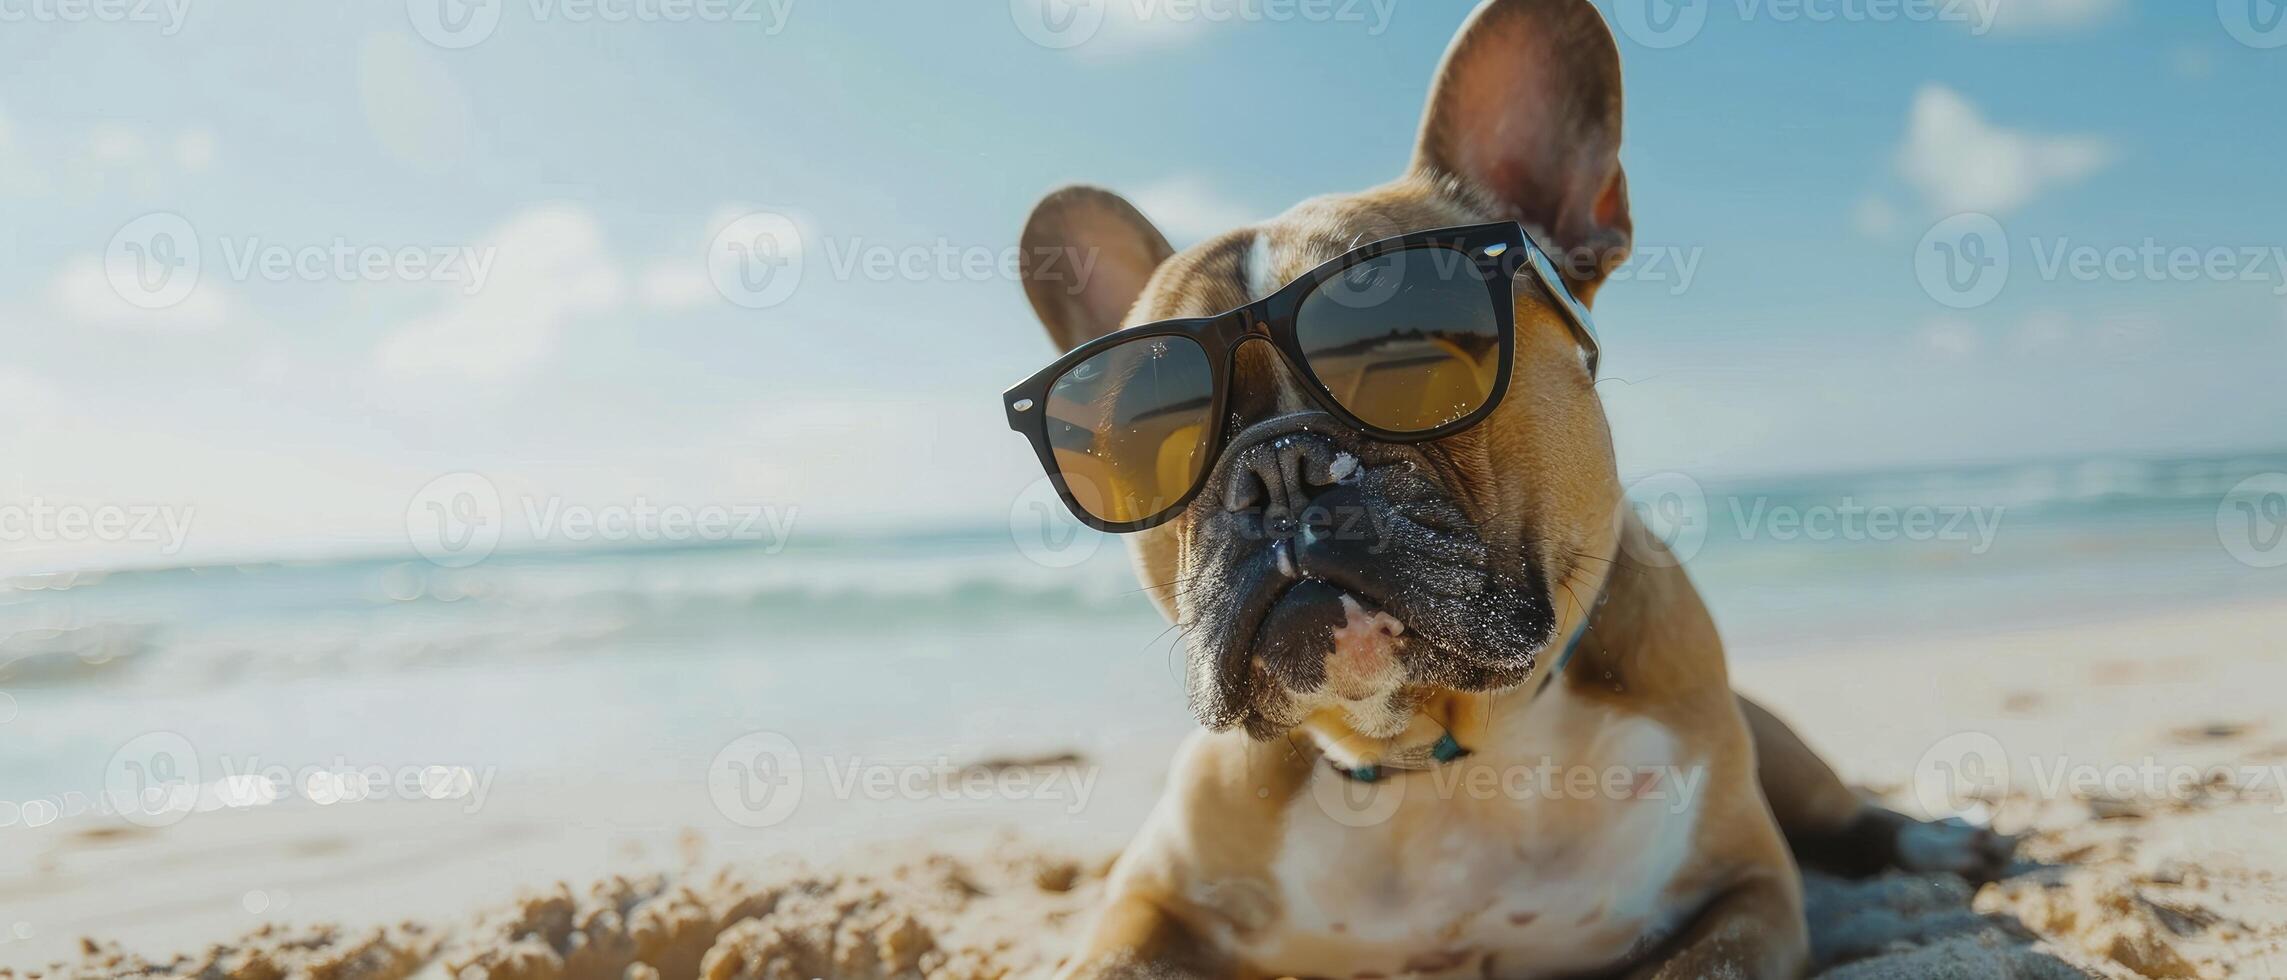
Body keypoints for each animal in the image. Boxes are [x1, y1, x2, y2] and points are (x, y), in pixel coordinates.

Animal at [1010, 3, 2012, 973]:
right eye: (1148, 440)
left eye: (1414, 365)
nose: (1274, 468)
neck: (1435, 754)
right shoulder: (1150, 901)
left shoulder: (1746, 893)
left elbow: (1705, 959)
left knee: (1843, 811)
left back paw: (1936, 842)